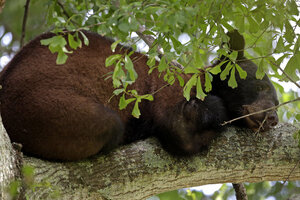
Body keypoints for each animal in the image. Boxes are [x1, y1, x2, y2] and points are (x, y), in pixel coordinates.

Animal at [0, 30, 278, 161]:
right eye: (261, 87)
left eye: (277, 101)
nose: (274, 117)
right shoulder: (167, 93)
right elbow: (181, 133)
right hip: (38, 105)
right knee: (108, 124)